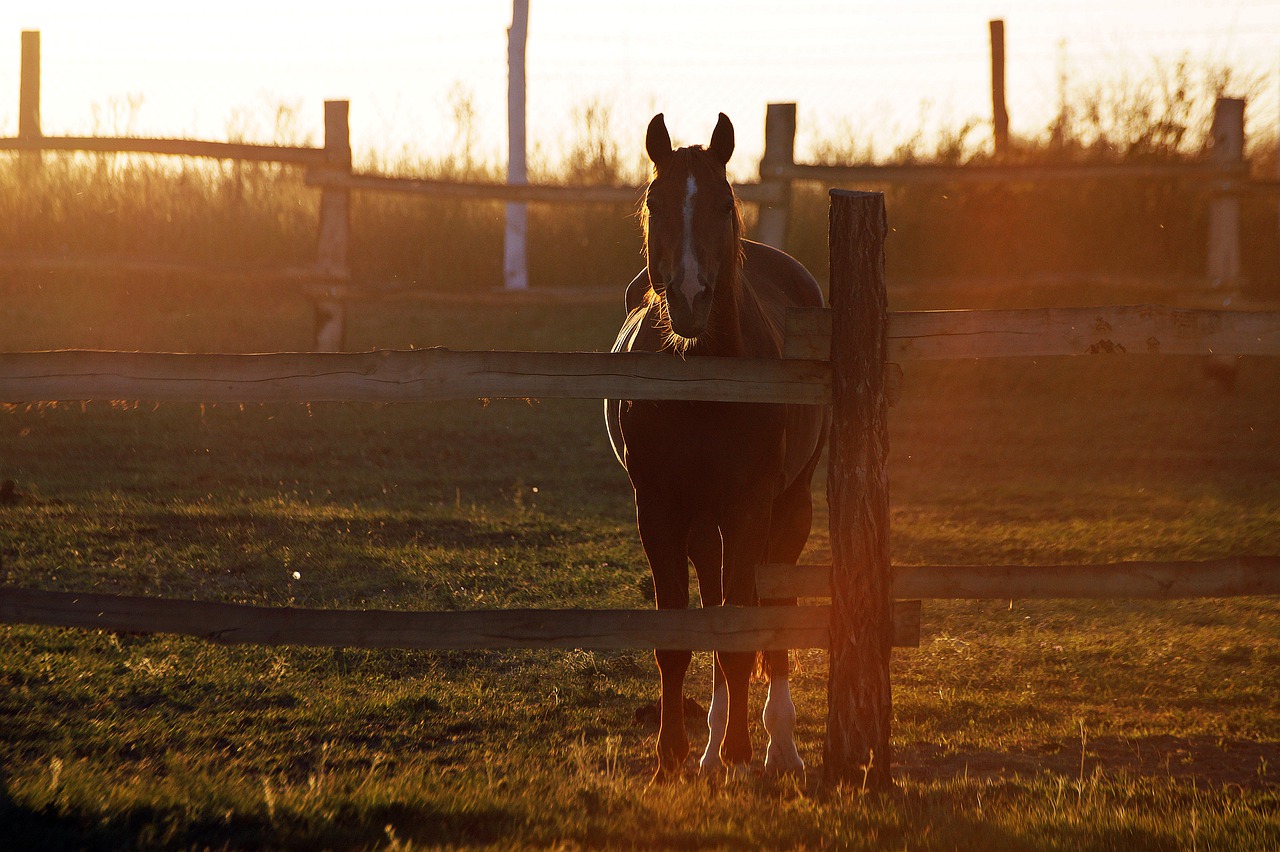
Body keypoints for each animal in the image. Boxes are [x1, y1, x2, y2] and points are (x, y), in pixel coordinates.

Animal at [606, 114, 829, 782]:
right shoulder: (659, 512)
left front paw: (740, 752)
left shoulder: (749, 508)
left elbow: (741, 630)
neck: (705, 384)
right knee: (716, 601)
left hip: (790, 509)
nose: (689, 299)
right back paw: (708, 750)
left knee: (772, 611)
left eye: (724, 203)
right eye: (655, 202)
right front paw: (672, 758)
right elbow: (679, 637)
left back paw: (780, 749)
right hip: (706, 526)